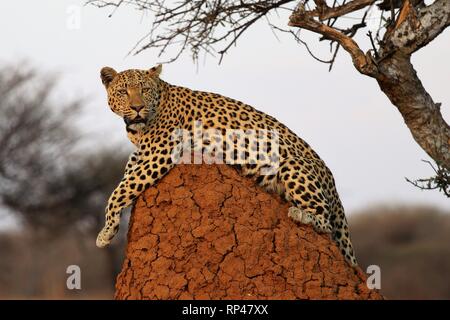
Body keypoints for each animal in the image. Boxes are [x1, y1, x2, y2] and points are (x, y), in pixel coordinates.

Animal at [96, 63, 356, 266]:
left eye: (145, 90)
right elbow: (128, 171)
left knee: (325, 221)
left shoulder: (159, 153)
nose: (137, 107)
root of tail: (332, 181)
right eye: (123, 91)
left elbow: (120, 190)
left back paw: (301, 214)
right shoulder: (145, 151)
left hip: (292, 164)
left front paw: (106, 232)